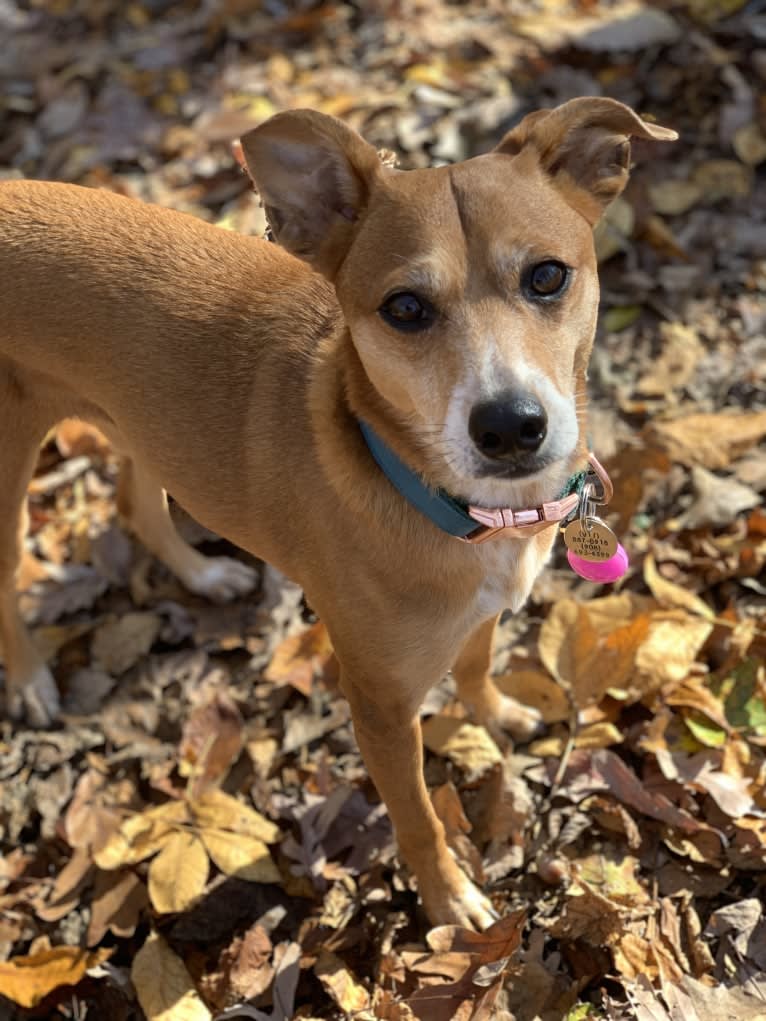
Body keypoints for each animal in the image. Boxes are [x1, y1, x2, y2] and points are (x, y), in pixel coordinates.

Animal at [0, 99, 678, 931]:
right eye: (405, 308)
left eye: (547, 274)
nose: (511, 425)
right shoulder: (380, 709)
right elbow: (417, 816)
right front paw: (448, 900)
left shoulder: (480, 610)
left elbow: (476, 661)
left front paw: (493, 714)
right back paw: (31, 680)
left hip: (141, 422)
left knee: (135, 501)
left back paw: (204, 574)